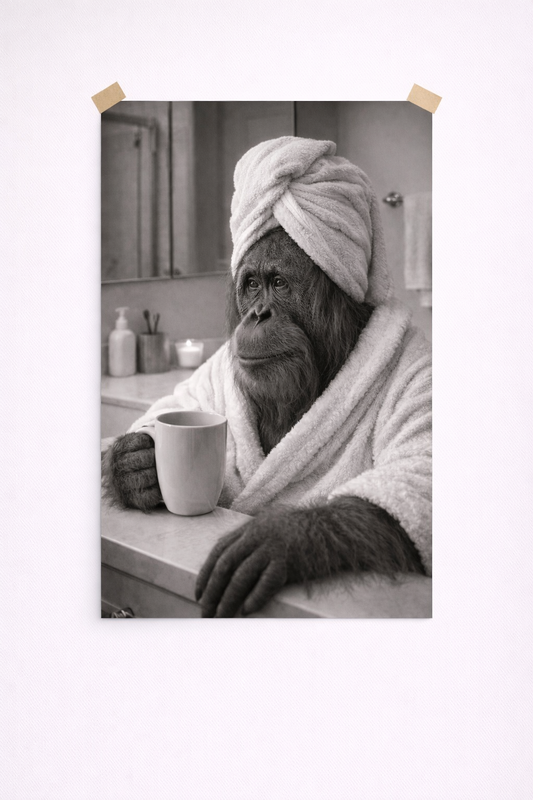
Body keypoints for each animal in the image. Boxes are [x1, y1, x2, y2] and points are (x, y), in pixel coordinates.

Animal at [103, 228, 426, 617]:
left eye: (279, 283)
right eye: (253, 284)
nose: (259, 314)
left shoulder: (417, 374)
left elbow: (411, 476)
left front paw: (277, 539)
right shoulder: (214, 369)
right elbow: (176, 403)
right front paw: (133, 465)